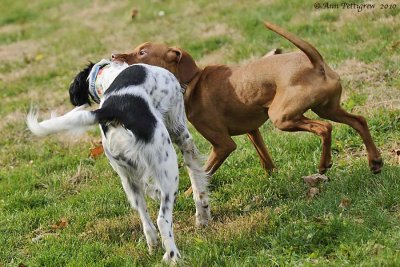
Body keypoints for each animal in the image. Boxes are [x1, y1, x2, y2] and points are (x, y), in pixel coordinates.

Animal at [26, 59, 211, 264]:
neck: (109, 75)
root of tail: (112, 110)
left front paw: (156, 193)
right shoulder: (183, 136)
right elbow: (198, 185)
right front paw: (203, 217)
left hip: (127, 178)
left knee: (146, 220)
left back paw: (153, 245)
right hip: (168, 166)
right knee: (162, 219)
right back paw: (173, 257)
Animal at [111, 21, 382, 178]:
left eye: (142, 52)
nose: (113, 55)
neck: (191, 82)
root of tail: (316, 63)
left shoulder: (223, 145)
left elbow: (203, 174)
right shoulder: (253, 131)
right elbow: (266, 160)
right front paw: (273, 178)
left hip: (283, 117)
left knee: (325, 128)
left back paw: (325, 164)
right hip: (326, 108)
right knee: (358, 121)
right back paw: (375, 161)